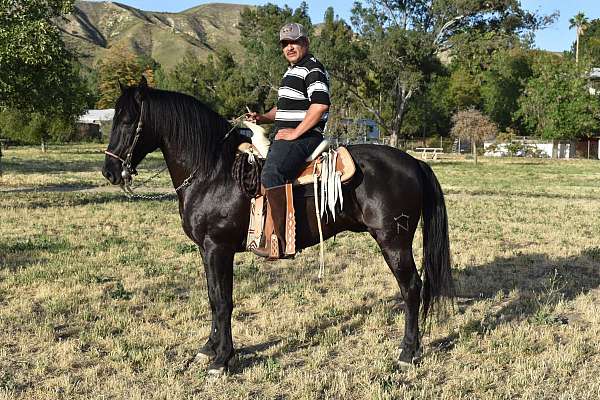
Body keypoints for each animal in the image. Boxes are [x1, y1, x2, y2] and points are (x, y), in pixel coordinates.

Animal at [101, 78, 452, 376]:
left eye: (128, 121)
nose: (109, 171)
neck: (212, 171)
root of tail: (413, 162)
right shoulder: (206, 250)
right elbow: (214, 297)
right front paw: (208, 349)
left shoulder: (218, 248)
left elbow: (224, 302)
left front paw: (222, 359)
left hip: (394, 242)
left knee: (411, 289)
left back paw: (407, 353)